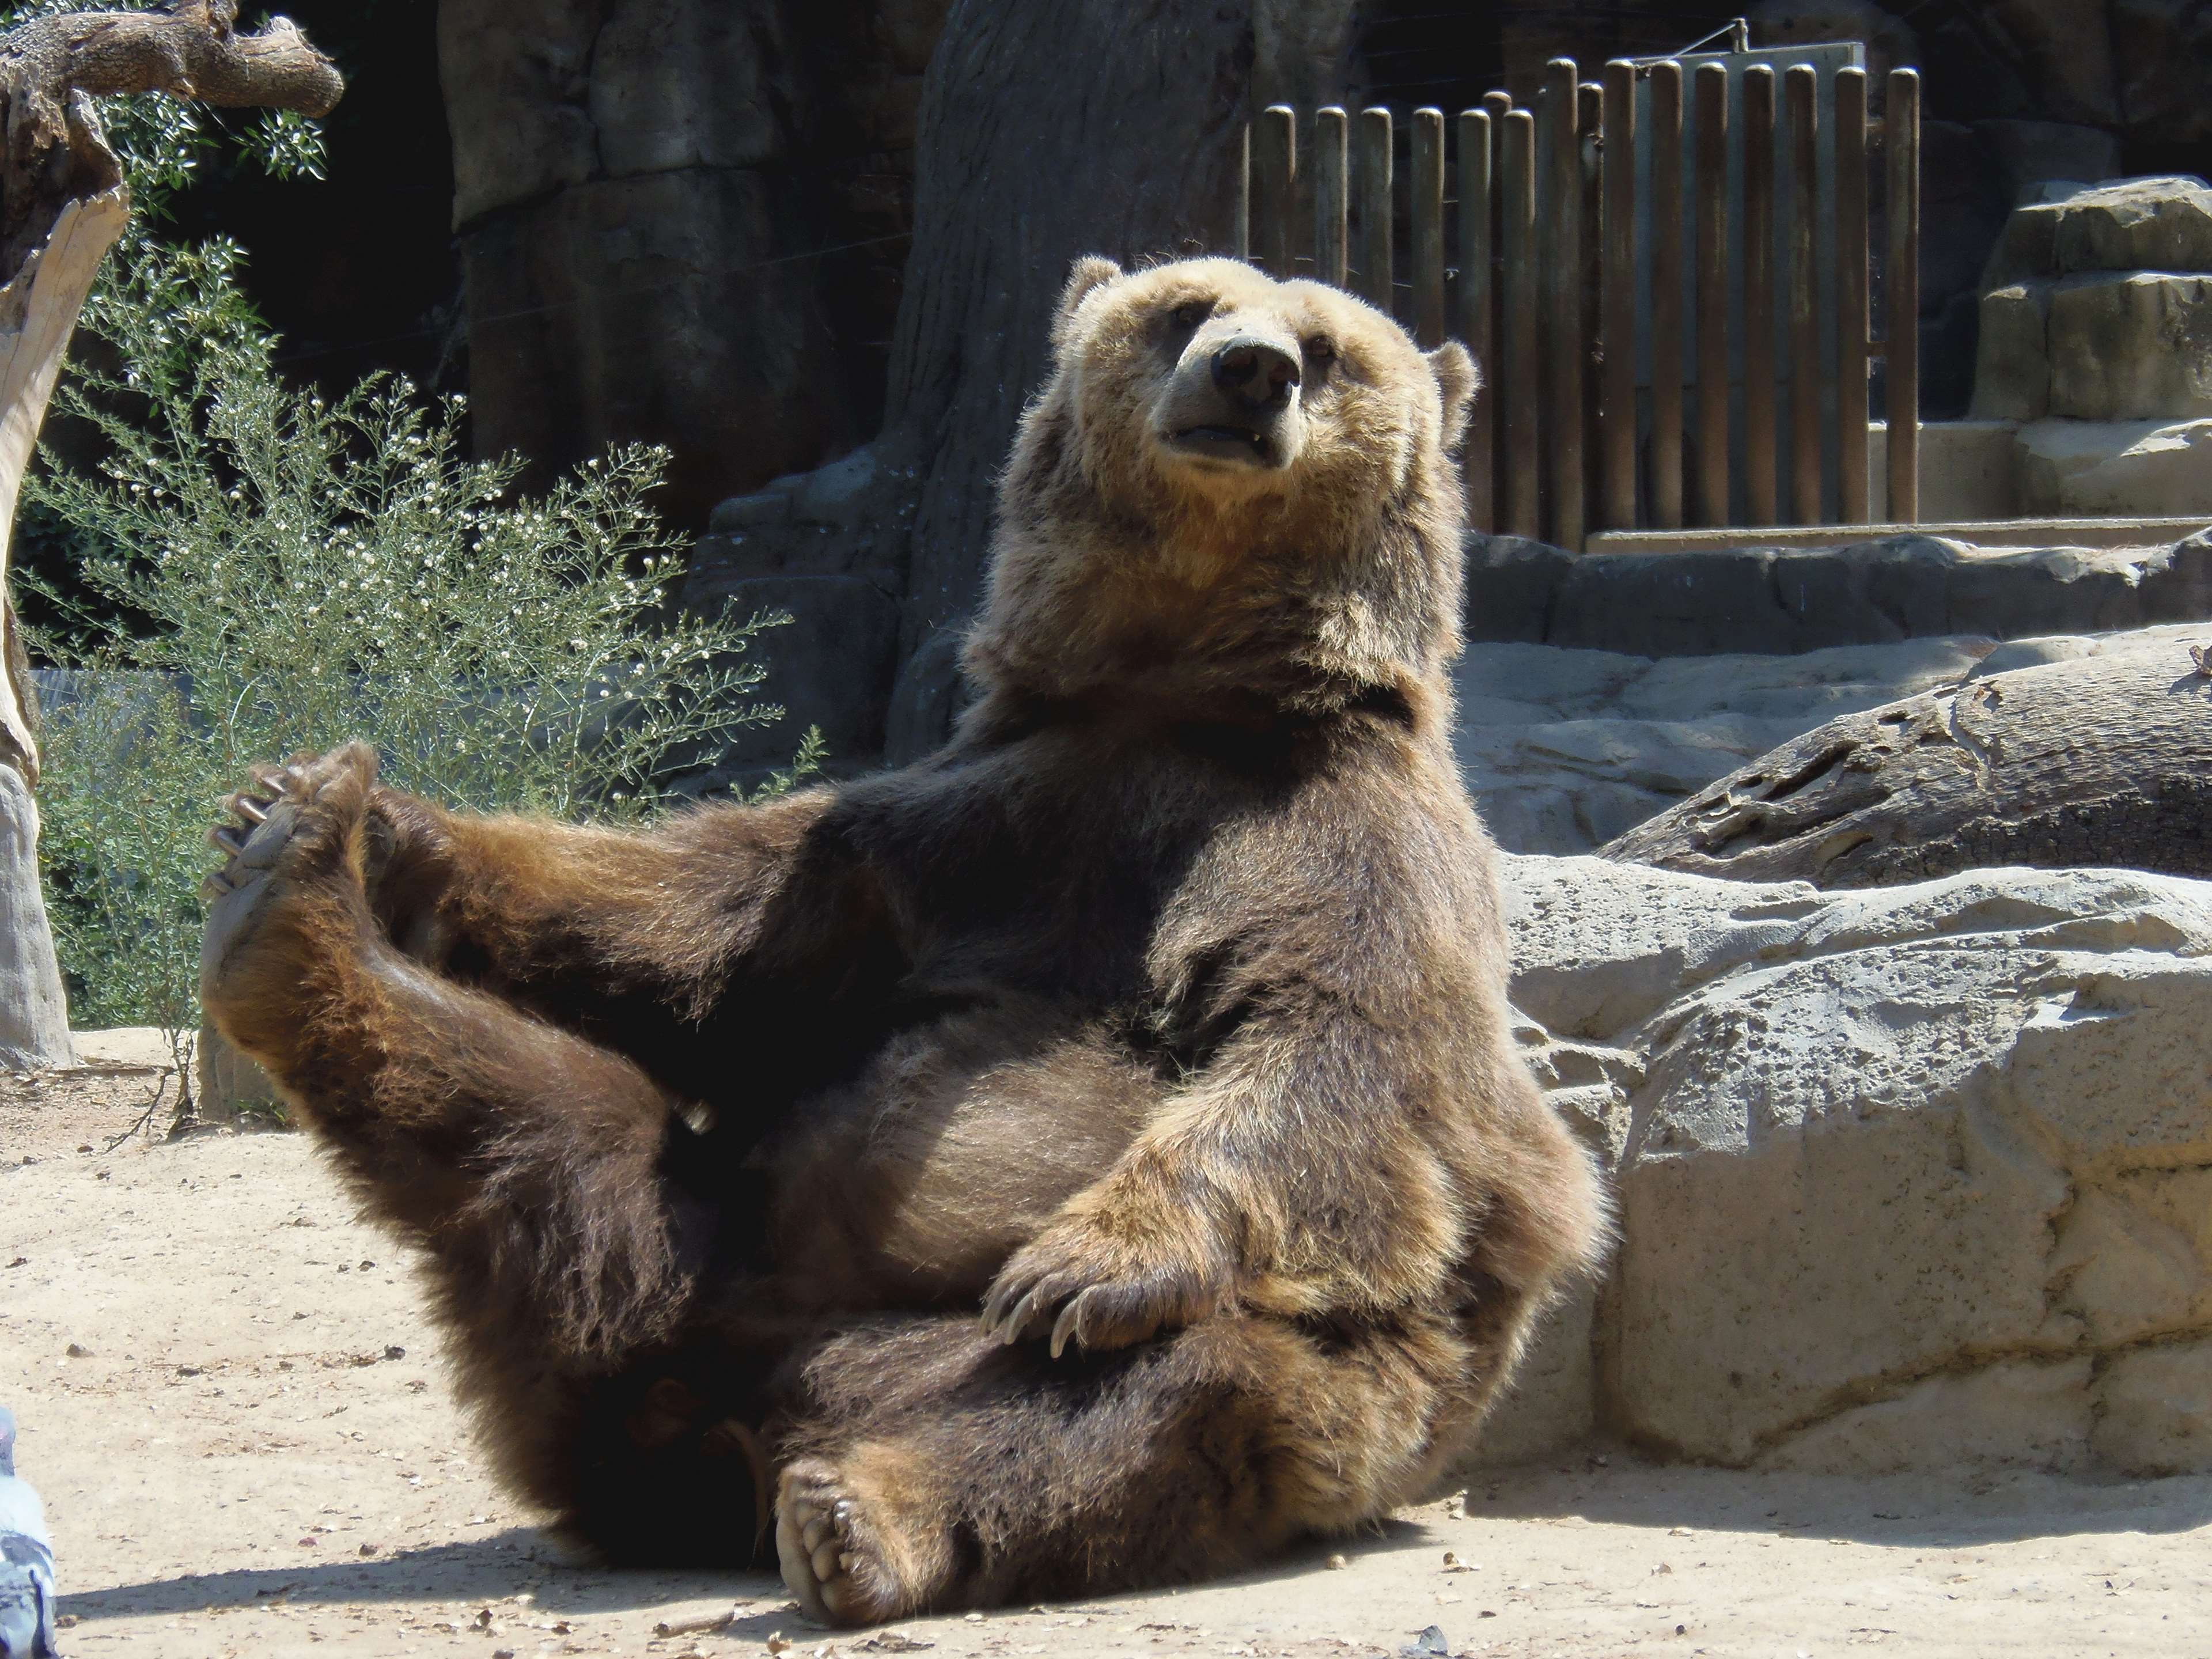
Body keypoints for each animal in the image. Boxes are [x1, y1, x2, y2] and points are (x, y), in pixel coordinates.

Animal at [198, 253, 1610, 1625]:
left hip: (1258, 1381)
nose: (1251, 372)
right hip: (694, 1250)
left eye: (1327, 347)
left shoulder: (1340, 848)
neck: (1186, 691)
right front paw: (356, 814)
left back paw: (861, 1517)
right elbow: (706, 926)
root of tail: (744, 1419)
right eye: (1186, 308)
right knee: (545, 1129)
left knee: (1130, 1401)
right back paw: (289, 898)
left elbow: (1338, 1052)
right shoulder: (979, 826)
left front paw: (1089, 1261)